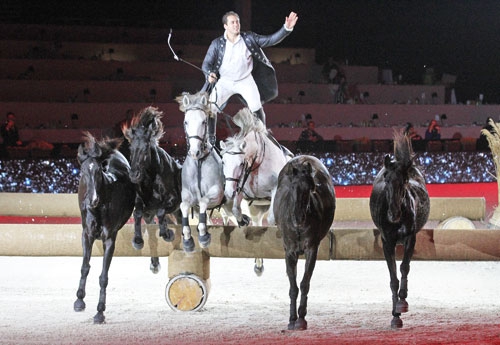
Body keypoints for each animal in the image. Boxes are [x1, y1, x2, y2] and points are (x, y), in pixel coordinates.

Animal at [73, 132, 136, 322]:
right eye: (83, 171)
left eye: (98, 171)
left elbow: (103, 276)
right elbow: (85, 267)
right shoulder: (87, 235)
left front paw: (100, 312)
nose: (93, 200)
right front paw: (79, 301)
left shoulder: (109, 239)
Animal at [122, 106, 182, 272]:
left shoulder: (173, 201)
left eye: (145, 149)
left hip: (177, 210)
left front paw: (167, 233)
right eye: (131, 148)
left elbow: (161, 212)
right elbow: (137, 214)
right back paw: (154, 263)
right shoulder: (143, 204)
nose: (134, 175)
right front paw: (137, 240)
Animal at [174, 91, 225, 251]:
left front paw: (203, 236)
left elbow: (203, 201)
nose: (194, 152)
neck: (199, 163)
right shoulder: (187, 196)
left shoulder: (217, 194)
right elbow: (184, 206)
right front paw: (187, 240)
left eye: (204, 122)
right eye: (186, 122)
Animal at [274, 155, 336, 330]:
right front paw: (291, 319)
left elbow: (304, 283)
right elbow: (293, 286)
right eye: (293, 186)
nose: (299, 217)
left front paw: (301, 318)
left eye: (311, 187)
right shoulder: (289, 252)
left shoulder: (311, 250)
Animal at [370, 131, 432, 328]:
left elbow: (404, 267)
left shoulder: (410, 238)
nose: (394, 214)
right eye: (387, 179)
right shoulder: (387, 242)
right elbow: (393, 278)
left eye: (404, 181)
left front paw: (402, 302)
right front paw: (395, 316)